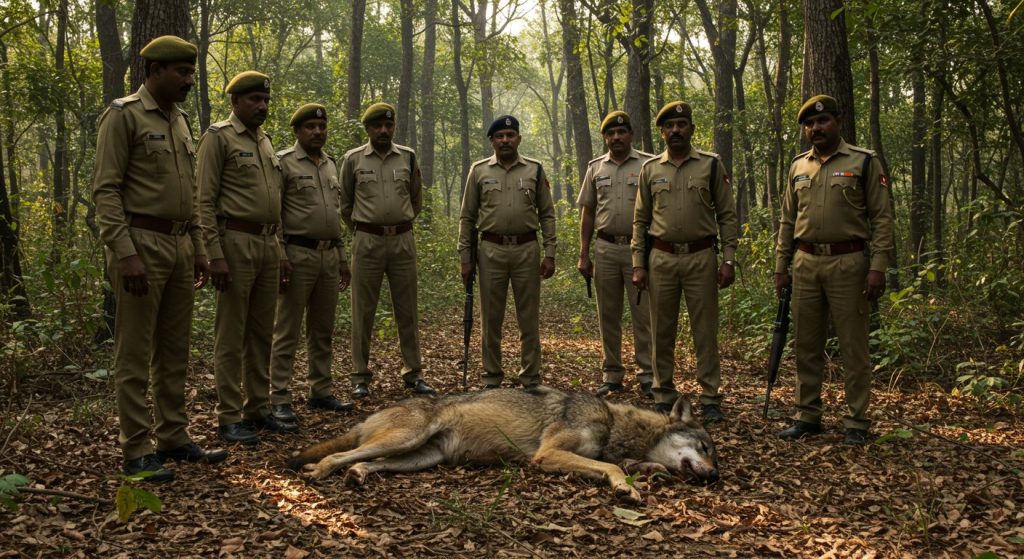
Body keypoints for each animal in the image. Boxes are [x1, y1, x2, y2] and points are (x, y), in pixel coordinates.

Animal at [288, 386, 719, 502]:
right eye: (704, 447)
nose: (715, 477)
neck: (614, 424)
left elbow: (638, 465)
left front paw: (649, 472)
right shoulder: (547, 455)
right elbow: (612, 467)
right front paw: (625, 489)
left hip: (417, 458)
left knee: (361, 463)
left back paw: (357, 476)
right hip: (404, 441)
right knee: (340, 454)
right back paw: (318, 471)